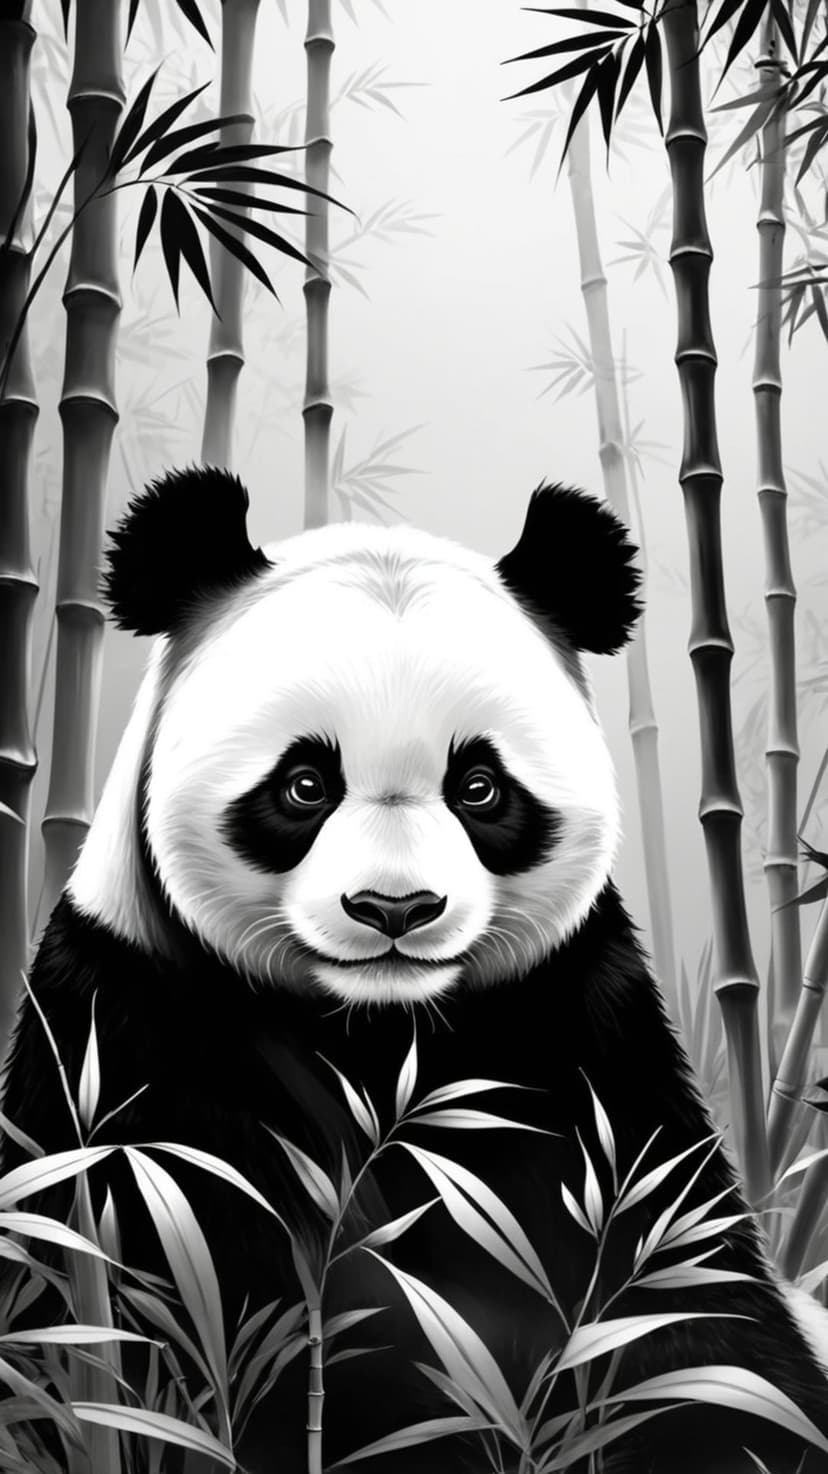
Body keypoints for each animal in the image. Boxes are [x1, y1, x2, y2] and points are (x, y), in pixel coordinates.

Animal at [2, 466, 828, 1474]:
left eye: (479, 786)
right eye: (304, 784)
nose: (394, 909)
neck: (377, 1031)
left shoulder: (584, 1032)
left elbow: (682, 1290)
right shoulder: (127, 1038)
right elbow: (194, 1296)